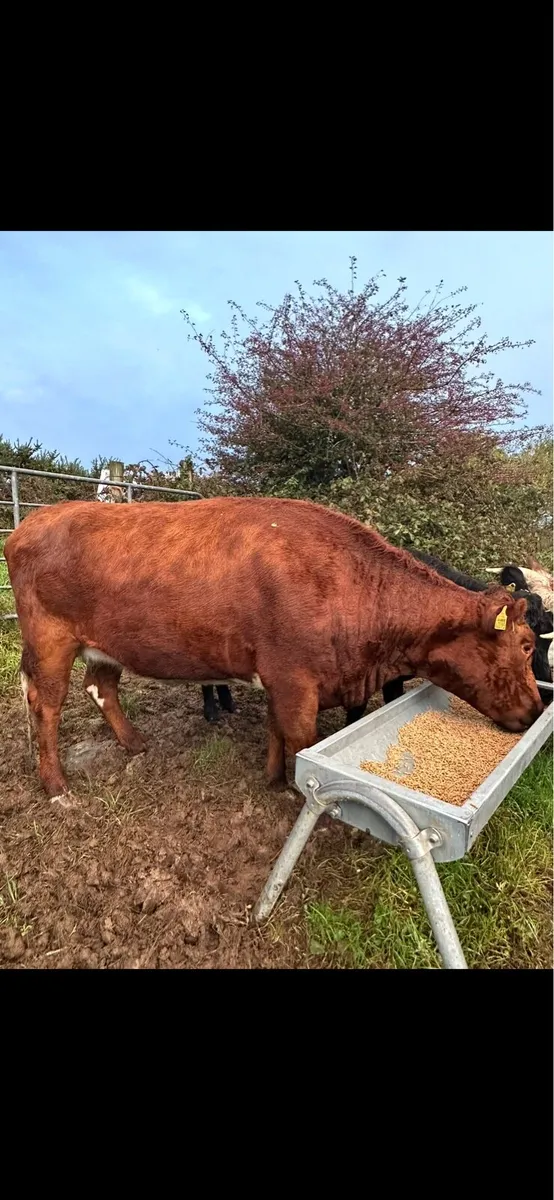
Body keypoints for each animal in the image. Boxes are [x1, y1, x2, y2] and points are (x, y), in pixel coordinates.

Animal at [4, 497, 543, 799]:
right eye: (525, 644)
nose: (539, 708)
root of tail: (33, 521)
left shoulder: (281, 677)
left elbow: (274, 730)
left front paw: (273, 780)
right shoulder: (294, 679)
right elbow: (302, 739)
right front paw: (297, 793)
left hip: (105, 645)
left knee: (102, 688)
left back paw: (134, 743)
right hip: (50, 641)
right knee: (46, 706)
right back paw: (56, 786)